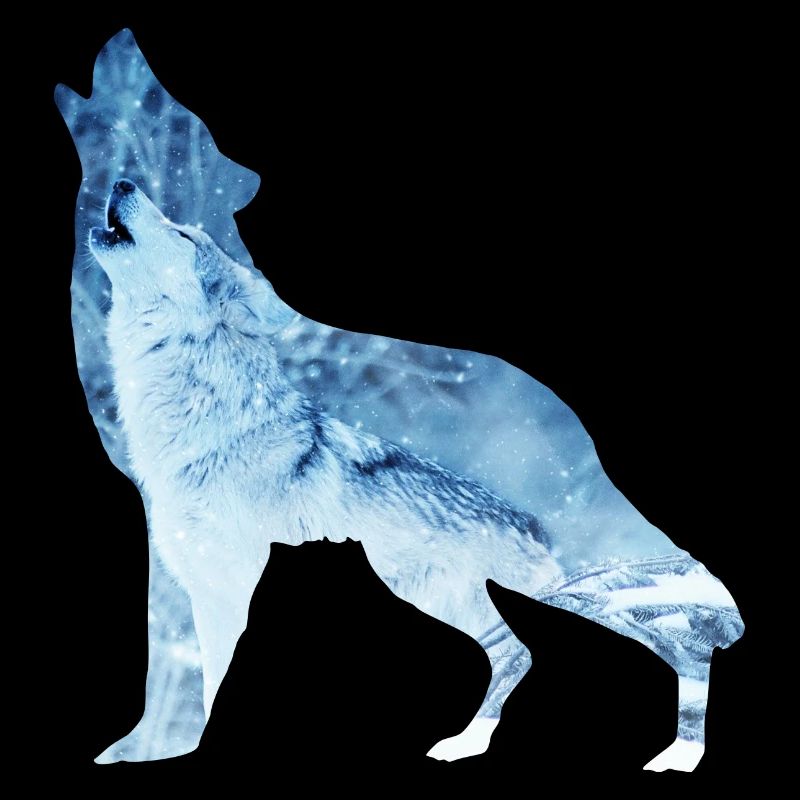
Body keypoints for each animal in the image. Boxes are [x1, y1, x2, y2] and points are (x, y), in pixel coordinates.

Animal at [88, 179, 743, 772]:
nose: (121, 181)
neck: (205, 433)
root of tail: (542, 537)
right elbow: (209, 691)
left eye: (182, 234)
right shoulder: (209, 598)